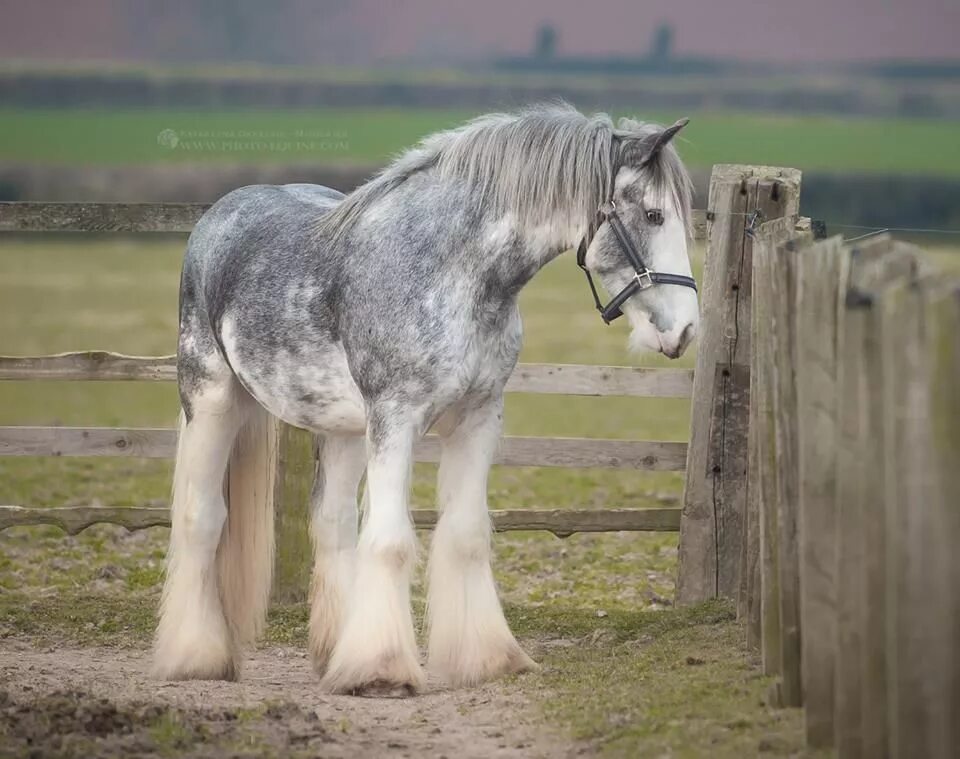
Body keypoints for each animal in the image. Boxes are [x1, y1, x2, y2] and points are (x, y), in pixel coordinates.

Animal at [156, 104, 696, 696]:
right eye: (653, 215)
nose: (686, 329)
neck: (450, 271)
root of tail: (218, 215)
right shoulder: (396, 418)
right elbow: (390, 541)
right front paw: (382, 670)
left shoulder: (478, 419)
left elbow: (466, 535)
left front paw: (488, 659)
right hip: (211, 397)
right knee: (202, 516)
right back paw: (196, 656)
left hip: (342, 428)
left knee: (332, 523)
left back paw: (333, 655)